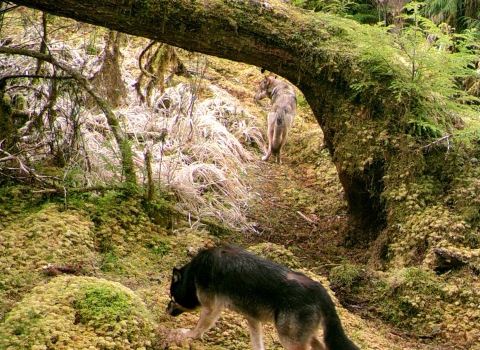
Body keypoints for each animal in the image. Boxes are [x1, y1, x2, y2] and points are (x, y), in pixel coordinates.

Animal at [167, 245, 358, 350]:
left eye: (171, 297)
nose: (166, 310)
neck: (193, 274)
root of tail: (319, 289)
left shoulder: (211, 308)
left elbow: (198, 328)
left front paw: (188, 335)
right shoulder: (253, 319)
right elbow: (257, 343)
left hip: (289, 340)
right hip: (306, 337)